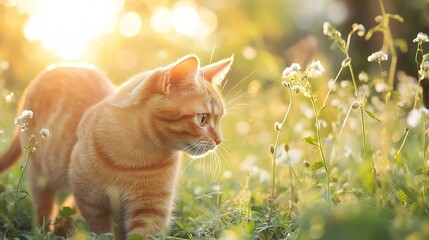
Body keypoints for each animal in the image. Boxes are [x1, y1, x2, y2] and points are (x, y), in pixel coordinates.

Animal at [0, 55, 232, 237]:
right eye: (202, 118)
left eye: (220, 119)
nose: (220, 140)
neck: (136, 156)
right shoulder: (91, 201)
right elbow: (100, 230)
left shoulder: (150, 211)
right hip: (40, 176)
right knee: (45, 209)